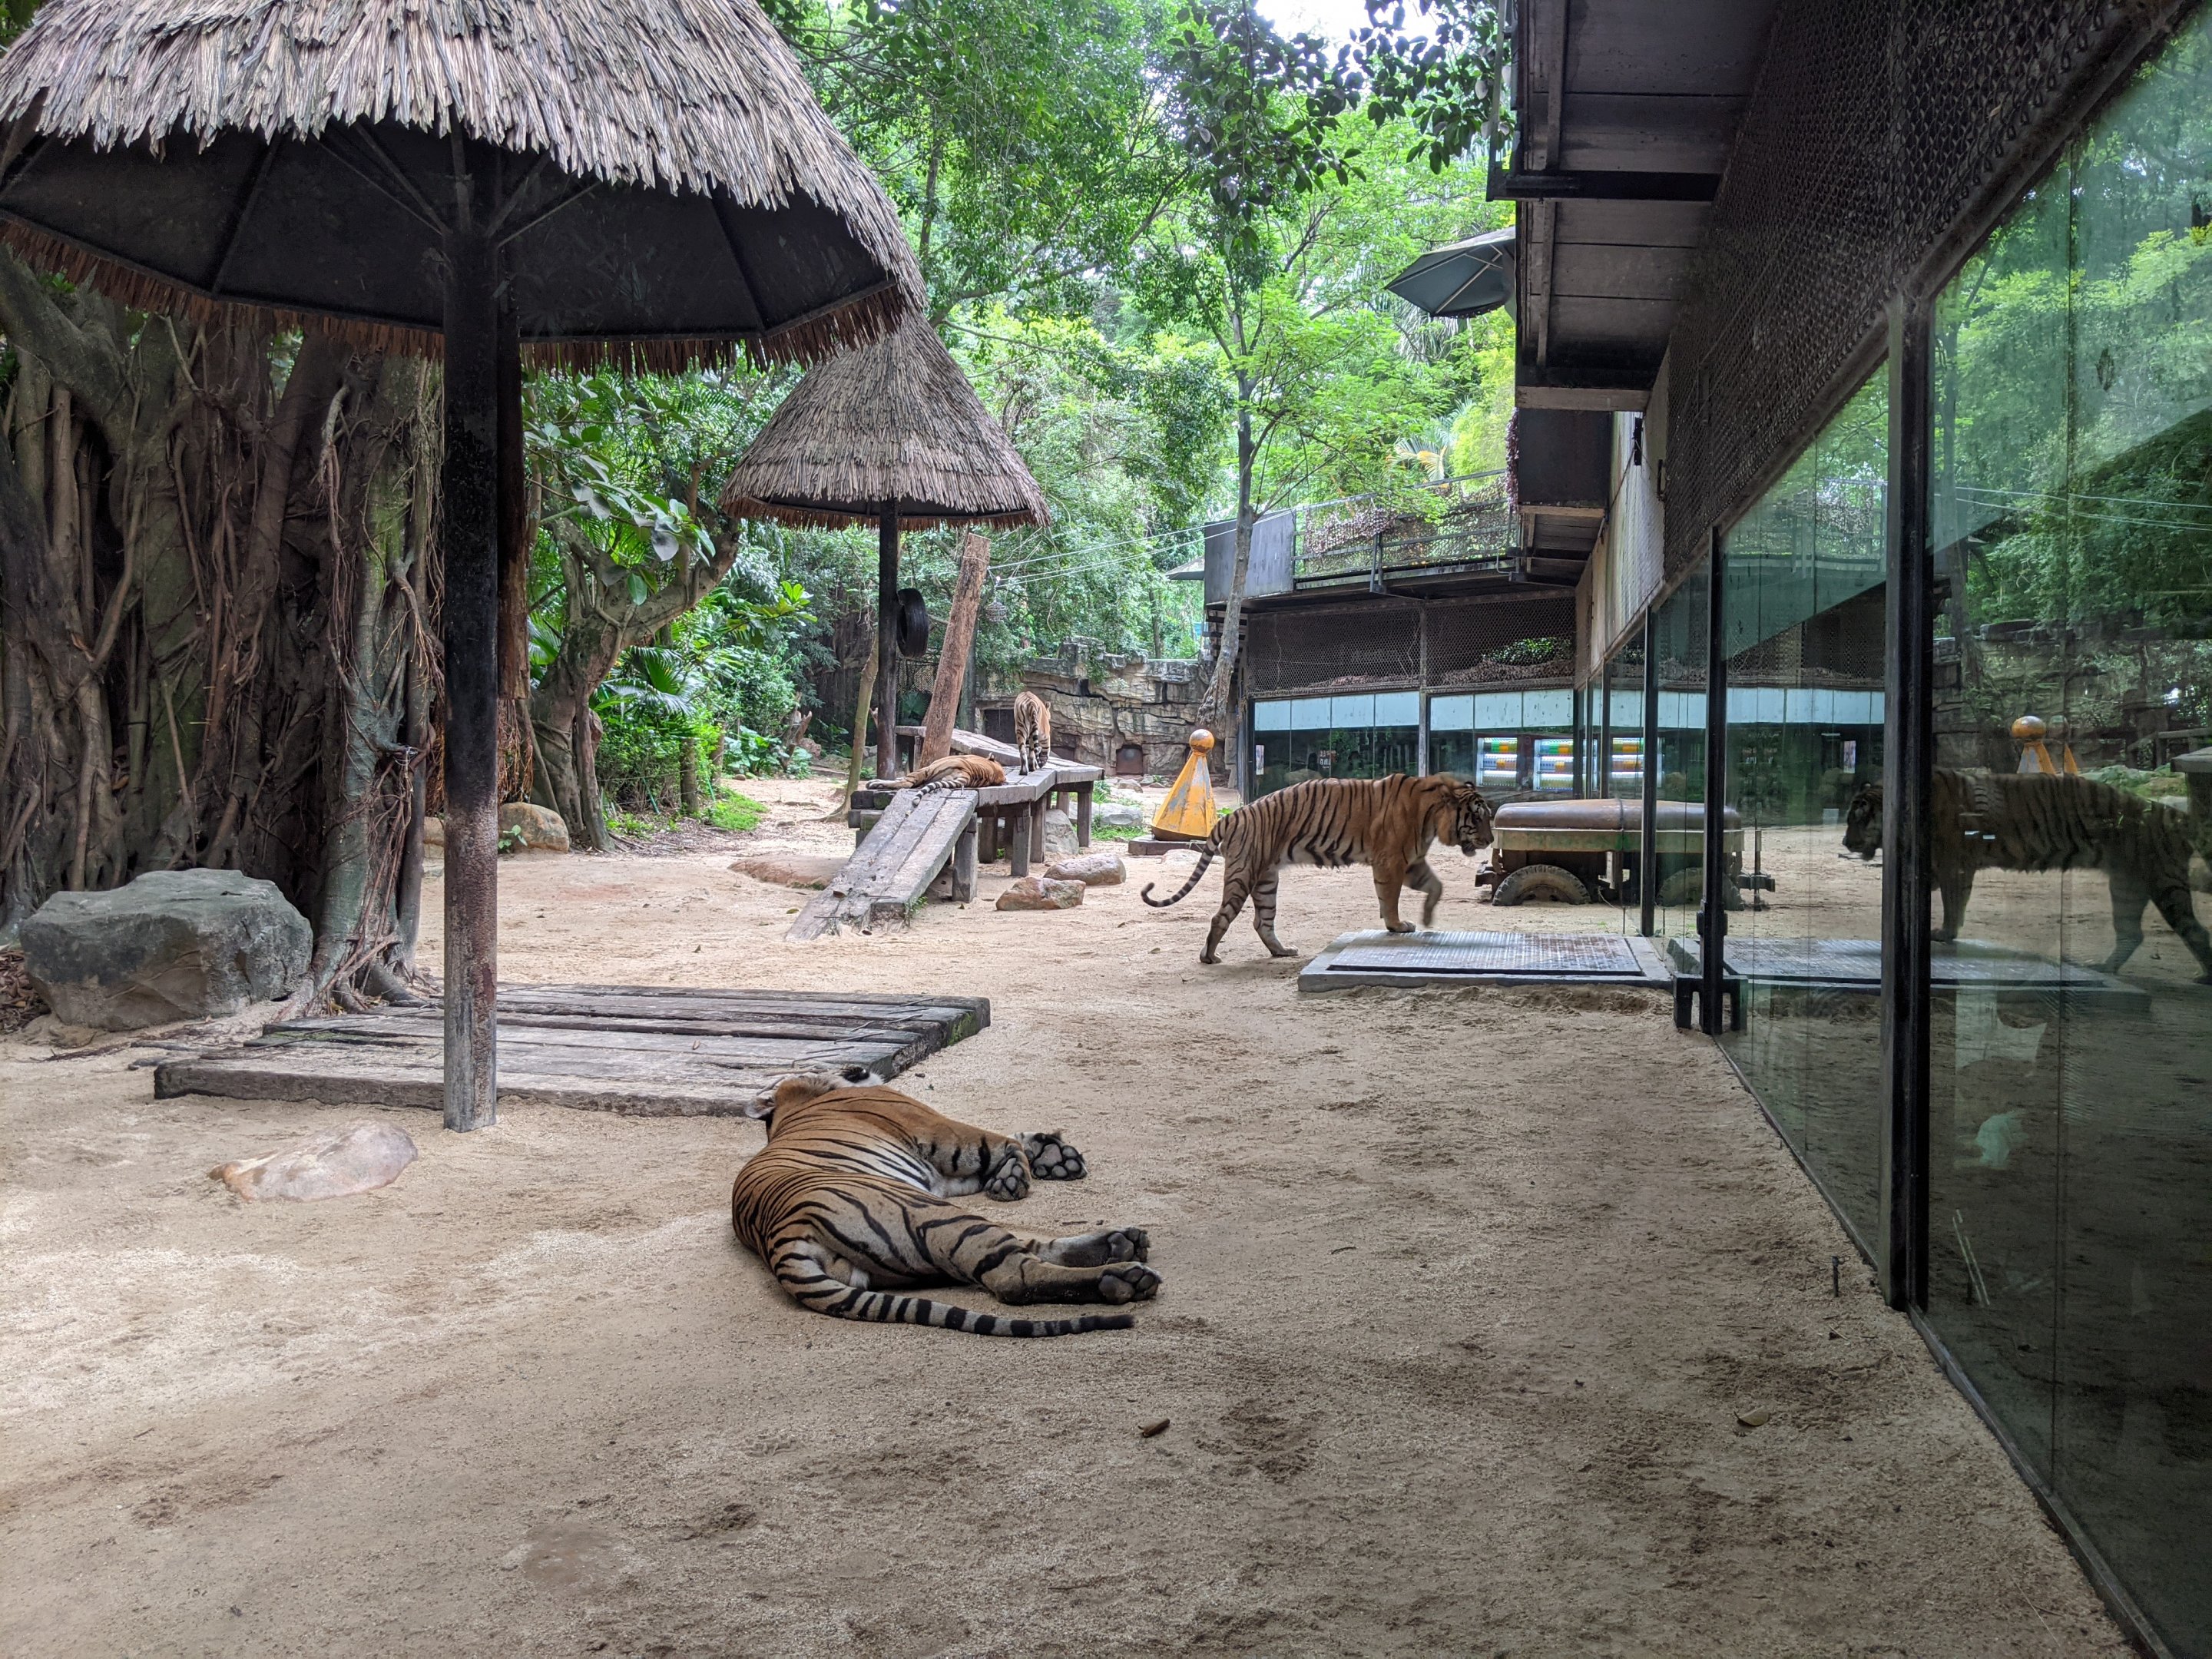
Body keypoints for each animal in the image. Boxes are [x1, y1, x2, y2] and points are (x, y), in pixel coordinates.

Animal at [730, 1073, 1160, 1337]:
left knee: (1028, 1250)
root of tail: (778, 1243)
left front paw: (1049, 1157)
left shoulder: (948, 1178)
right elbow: (1004, 1141)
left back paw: (1121, 1243)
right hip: (934, 1215)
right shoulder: (941, 1130)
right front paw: (1021, 1174)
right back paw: (1123, 1276)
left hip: (929, 1238)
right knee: (1015, 1276)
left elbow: (1012, 1144)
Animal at [1141, 772, 1495, 964]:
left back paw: (1282, 951)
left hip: (1266, 879)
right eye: (1478, 818)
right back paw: (1209, 956)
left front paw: (1428, 917)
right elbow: (1390, 899)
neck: (1433, 815)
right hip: (1244, 873)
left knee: (1262, 921)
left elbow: (1436, 886)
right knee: (1221, 916)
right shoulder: (1392, 862)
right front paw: (1396, 925)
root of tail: (1233, 815)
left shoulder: (1413, 862)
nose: (1492, 840)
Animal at [1842, 770, 2212, 981]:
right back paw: (2103, 968)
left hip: (2163, 883)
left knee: (2194, 929)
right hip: (2127, 886)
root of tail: (2173, 812)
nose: (1845, 842)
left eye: (1855, 820)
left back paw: (2203, 976)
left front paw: (1945, 933)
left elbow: (1953, 903)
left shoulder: (1952, 864)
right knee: (2132, 933)